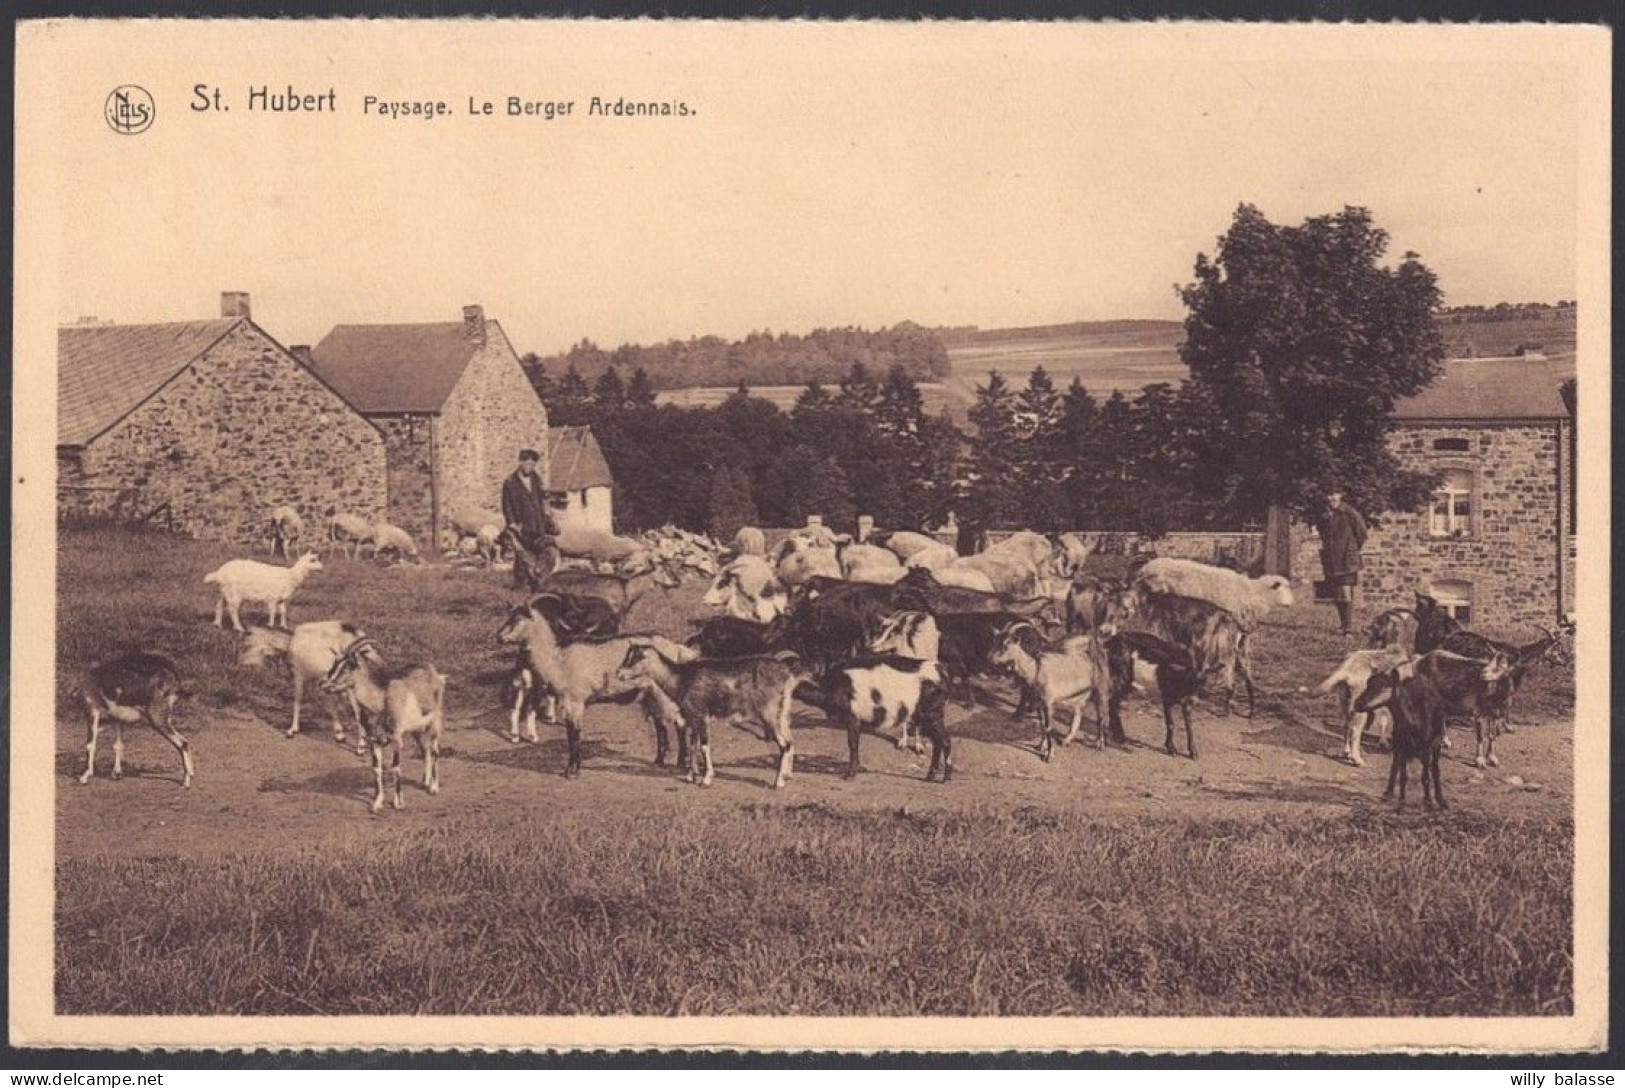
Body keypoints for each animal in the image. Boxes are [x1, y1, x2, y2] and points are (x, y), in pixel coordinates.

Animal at [77, 652, 195, 789]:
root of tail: (172, 672)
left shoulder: (92, 710)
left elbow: (90, 744)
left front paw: (84, 776)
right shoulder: (117, 718)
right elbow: (118, 745)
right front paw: (117, 774)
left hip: (157, 717)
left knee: (183, 743)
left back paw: (186, 782)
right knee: (185, 742)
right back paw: (191, 774)